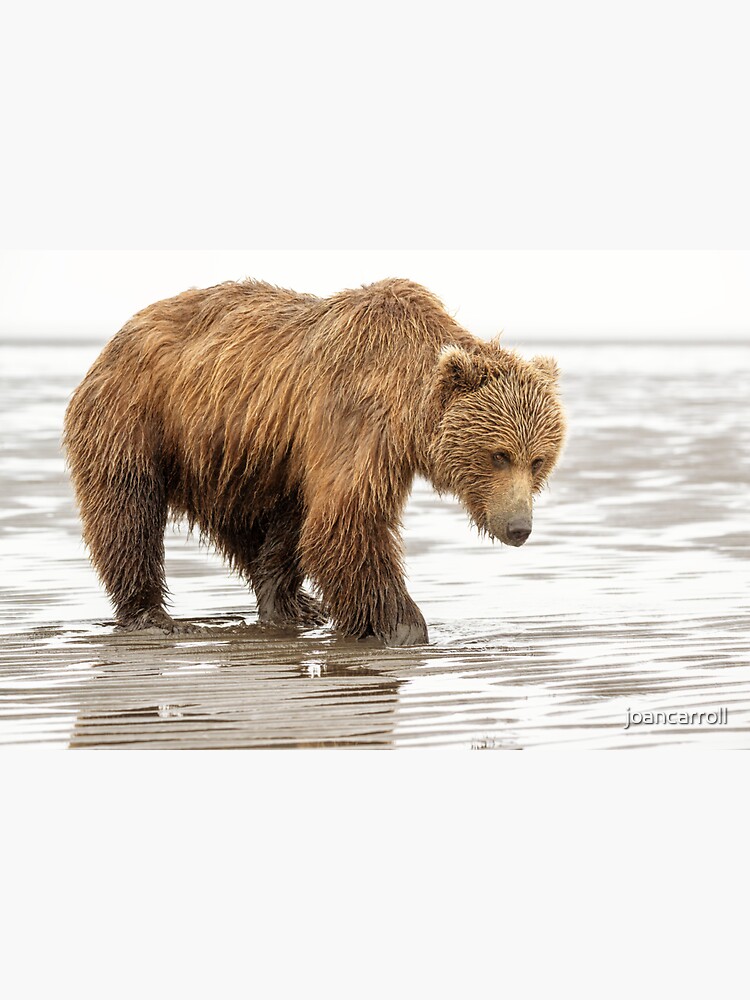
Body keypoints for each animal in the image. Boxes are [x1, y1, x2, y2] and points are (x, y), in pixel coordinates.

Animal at [64, 278, 568, 644]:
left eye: (538, 460)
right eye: (499, 455)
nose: (519, 527)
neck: (408, 408)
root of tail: (118, 335)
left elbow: (315, 523)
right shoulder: (356, 421)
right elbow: (344, 523)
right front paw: (405, 626)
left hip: (239, 452)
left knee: (261, 524)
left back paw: (295, 605)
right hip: (137, 418)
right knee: (127, 513)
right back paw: (154, 615)